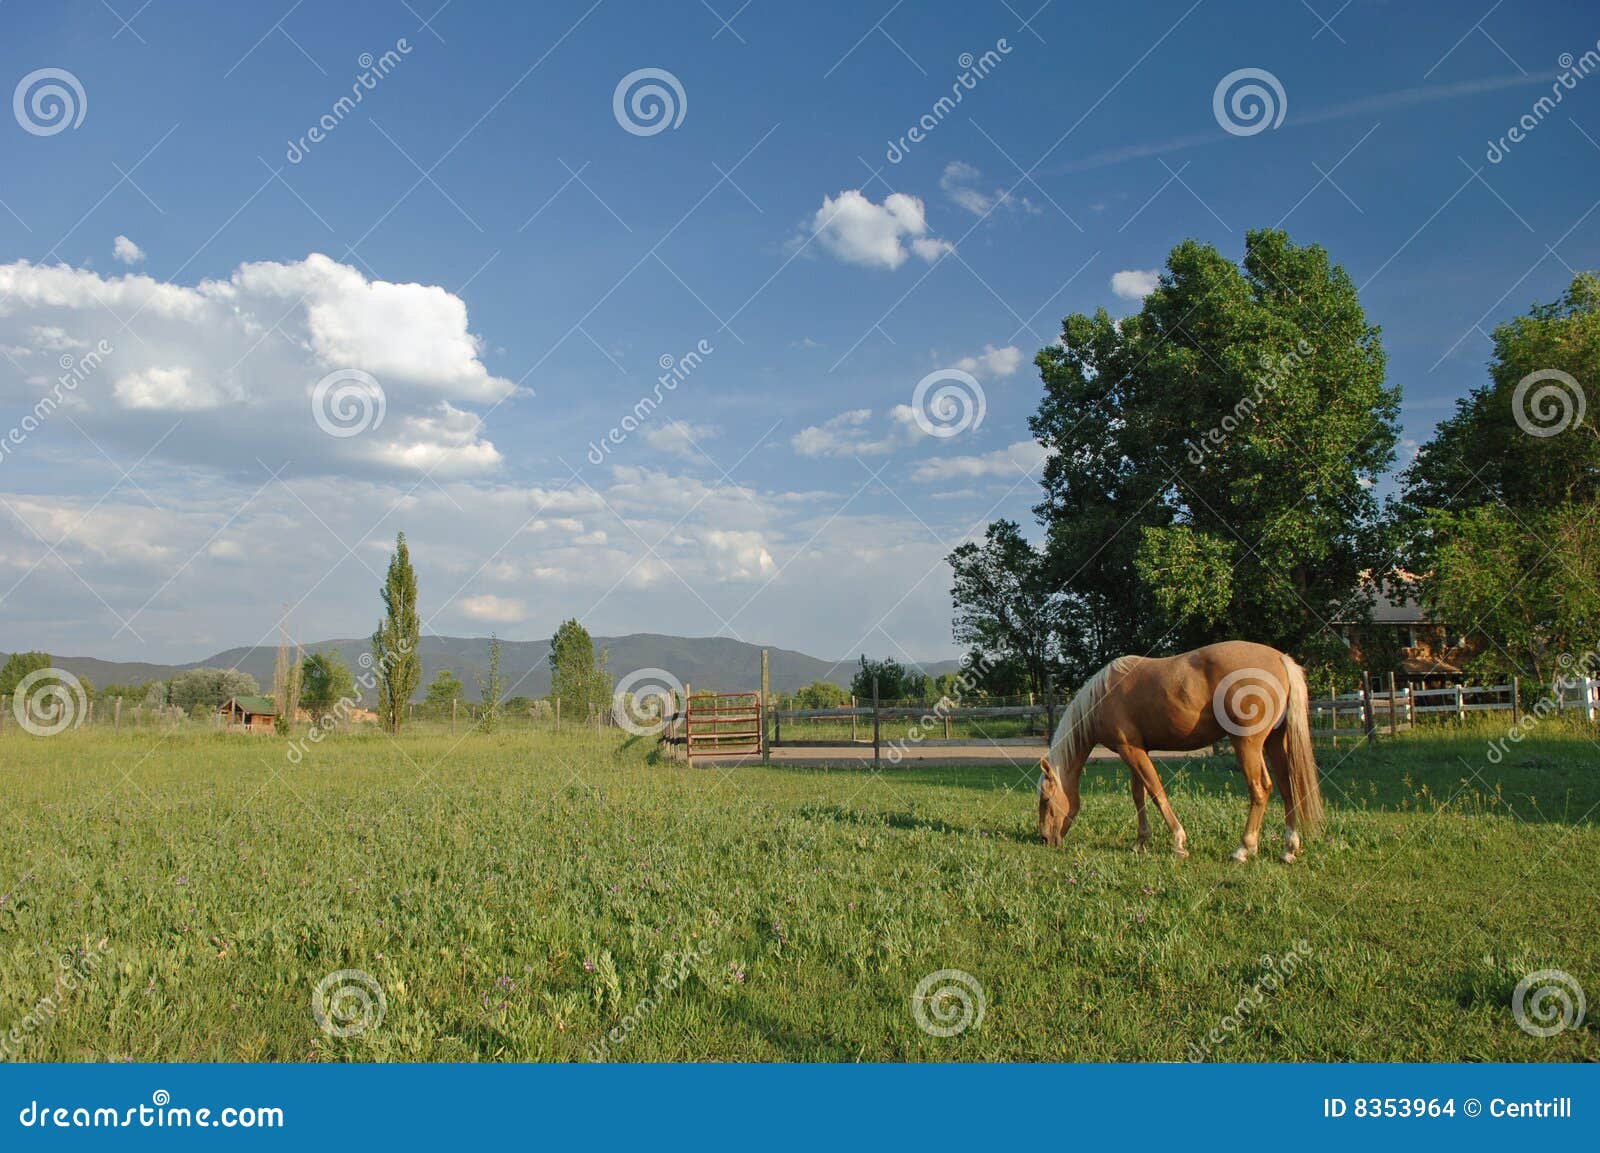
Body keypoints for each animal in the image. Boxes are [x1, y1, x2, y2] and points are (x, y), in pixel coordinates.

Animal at [1037, 640, 1324, 863]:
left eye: (1047, 800)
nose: (1045, 839)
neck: (1102, 696)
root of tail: (1280, 658)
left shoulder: (1130, 751)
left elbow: (1156, 792)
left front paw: (1178, 842)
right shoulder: (1135, 750)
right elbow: (1138, 795)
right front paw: (1140, 842)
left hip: (1247, 744)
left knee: (1260, 789)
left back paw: (1243, 849)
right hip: (1275, 741)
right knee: (1288, 787)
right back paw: (1288, 849)